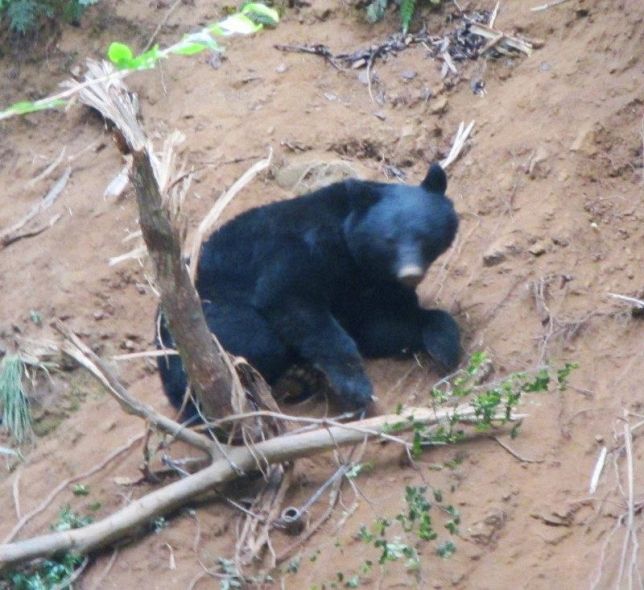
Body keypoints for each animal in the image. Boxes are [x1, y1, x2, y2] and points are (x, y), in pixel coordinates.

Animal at [160, 164, 462, 416]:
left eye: (424, 237)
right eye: (389, 240)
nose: (410, 274)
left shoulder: (368, 288)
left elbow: (382, 325)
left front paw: (445, 343)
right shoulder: (301, 248)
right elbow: (293, 302)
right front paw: (355, 387)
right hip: (213, 317)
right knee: (257, 340)